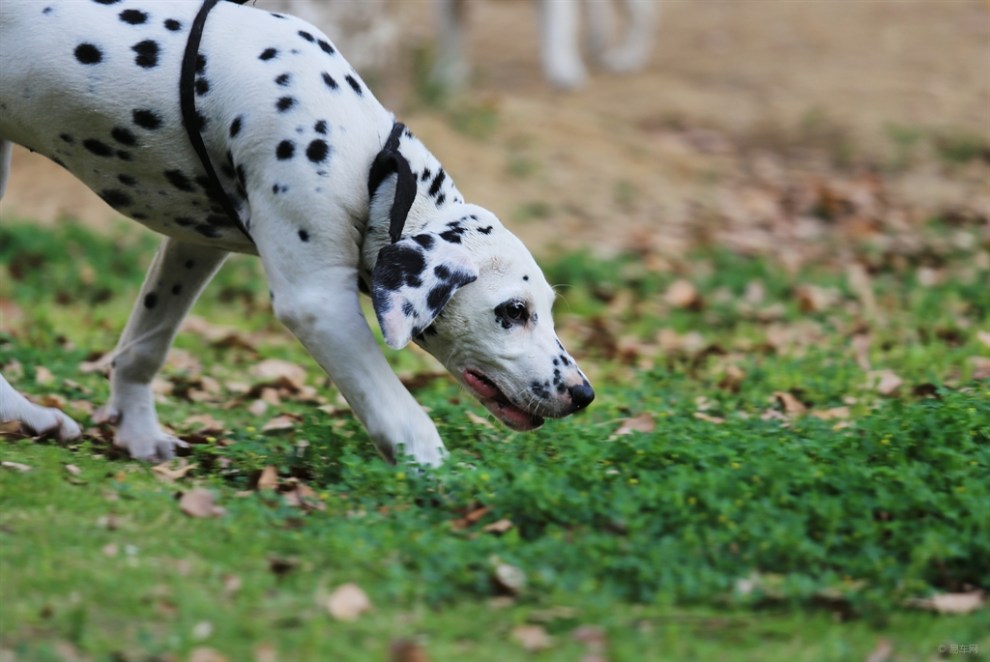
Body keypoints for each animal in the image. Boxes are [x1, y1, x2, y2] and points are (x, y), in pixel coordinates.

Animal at [0, 0, 596, 470]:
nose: (584, 394)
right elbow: (404, 418)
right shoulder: (317, 303)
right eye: (513, 311)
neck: (368, 160)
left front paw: (138, 431)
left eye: (547, 308)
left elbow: (146, 343)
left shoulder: (194, 248)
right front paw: (444, 484)